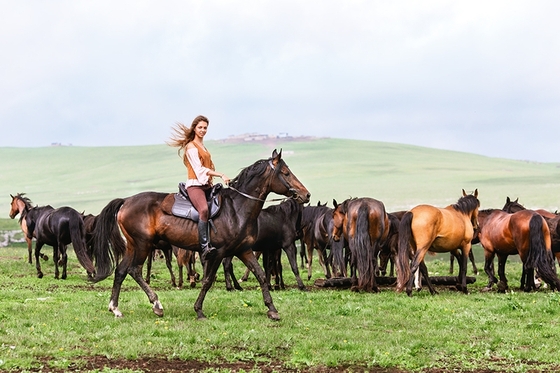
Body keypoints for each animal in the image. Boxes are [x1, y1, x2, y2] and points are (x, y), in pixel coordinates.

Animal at [92, 150, 310, 320]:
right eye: (286, 173)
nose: (306, 195)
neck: (237, 209)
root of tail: (126, 201)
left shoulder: (244, 250)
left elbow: (262, 276)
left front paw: (272, 310)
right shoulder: (218, 252)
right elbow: (207, 280)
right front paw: (198, 310)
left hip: (133, 245)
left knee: (121, 271)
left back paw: (115, 308)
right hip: (143, 244)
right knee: (134, 270)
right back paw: (156, 305)